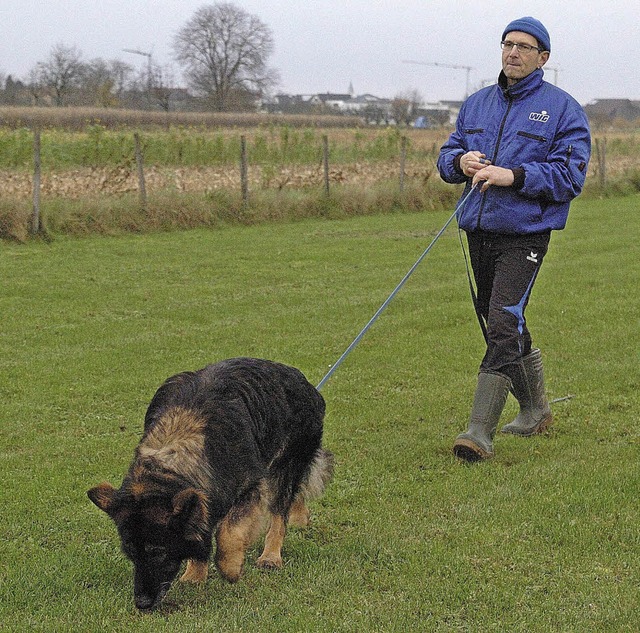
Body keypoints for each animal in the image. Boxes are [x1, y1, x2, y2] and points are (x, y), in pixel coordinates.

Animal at [87, 356, 332, 608]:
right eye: (131, 554)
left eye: (158, 552)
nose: (142, 603)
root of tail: (303, 381)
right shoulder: (202, 498)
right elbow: (203, 527)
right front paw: (195, 573)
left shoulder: (252, 485)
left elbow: (228, 530)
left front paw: (229, 566)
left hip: (286, 467)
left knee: (280, 513)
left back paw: (271, 555)